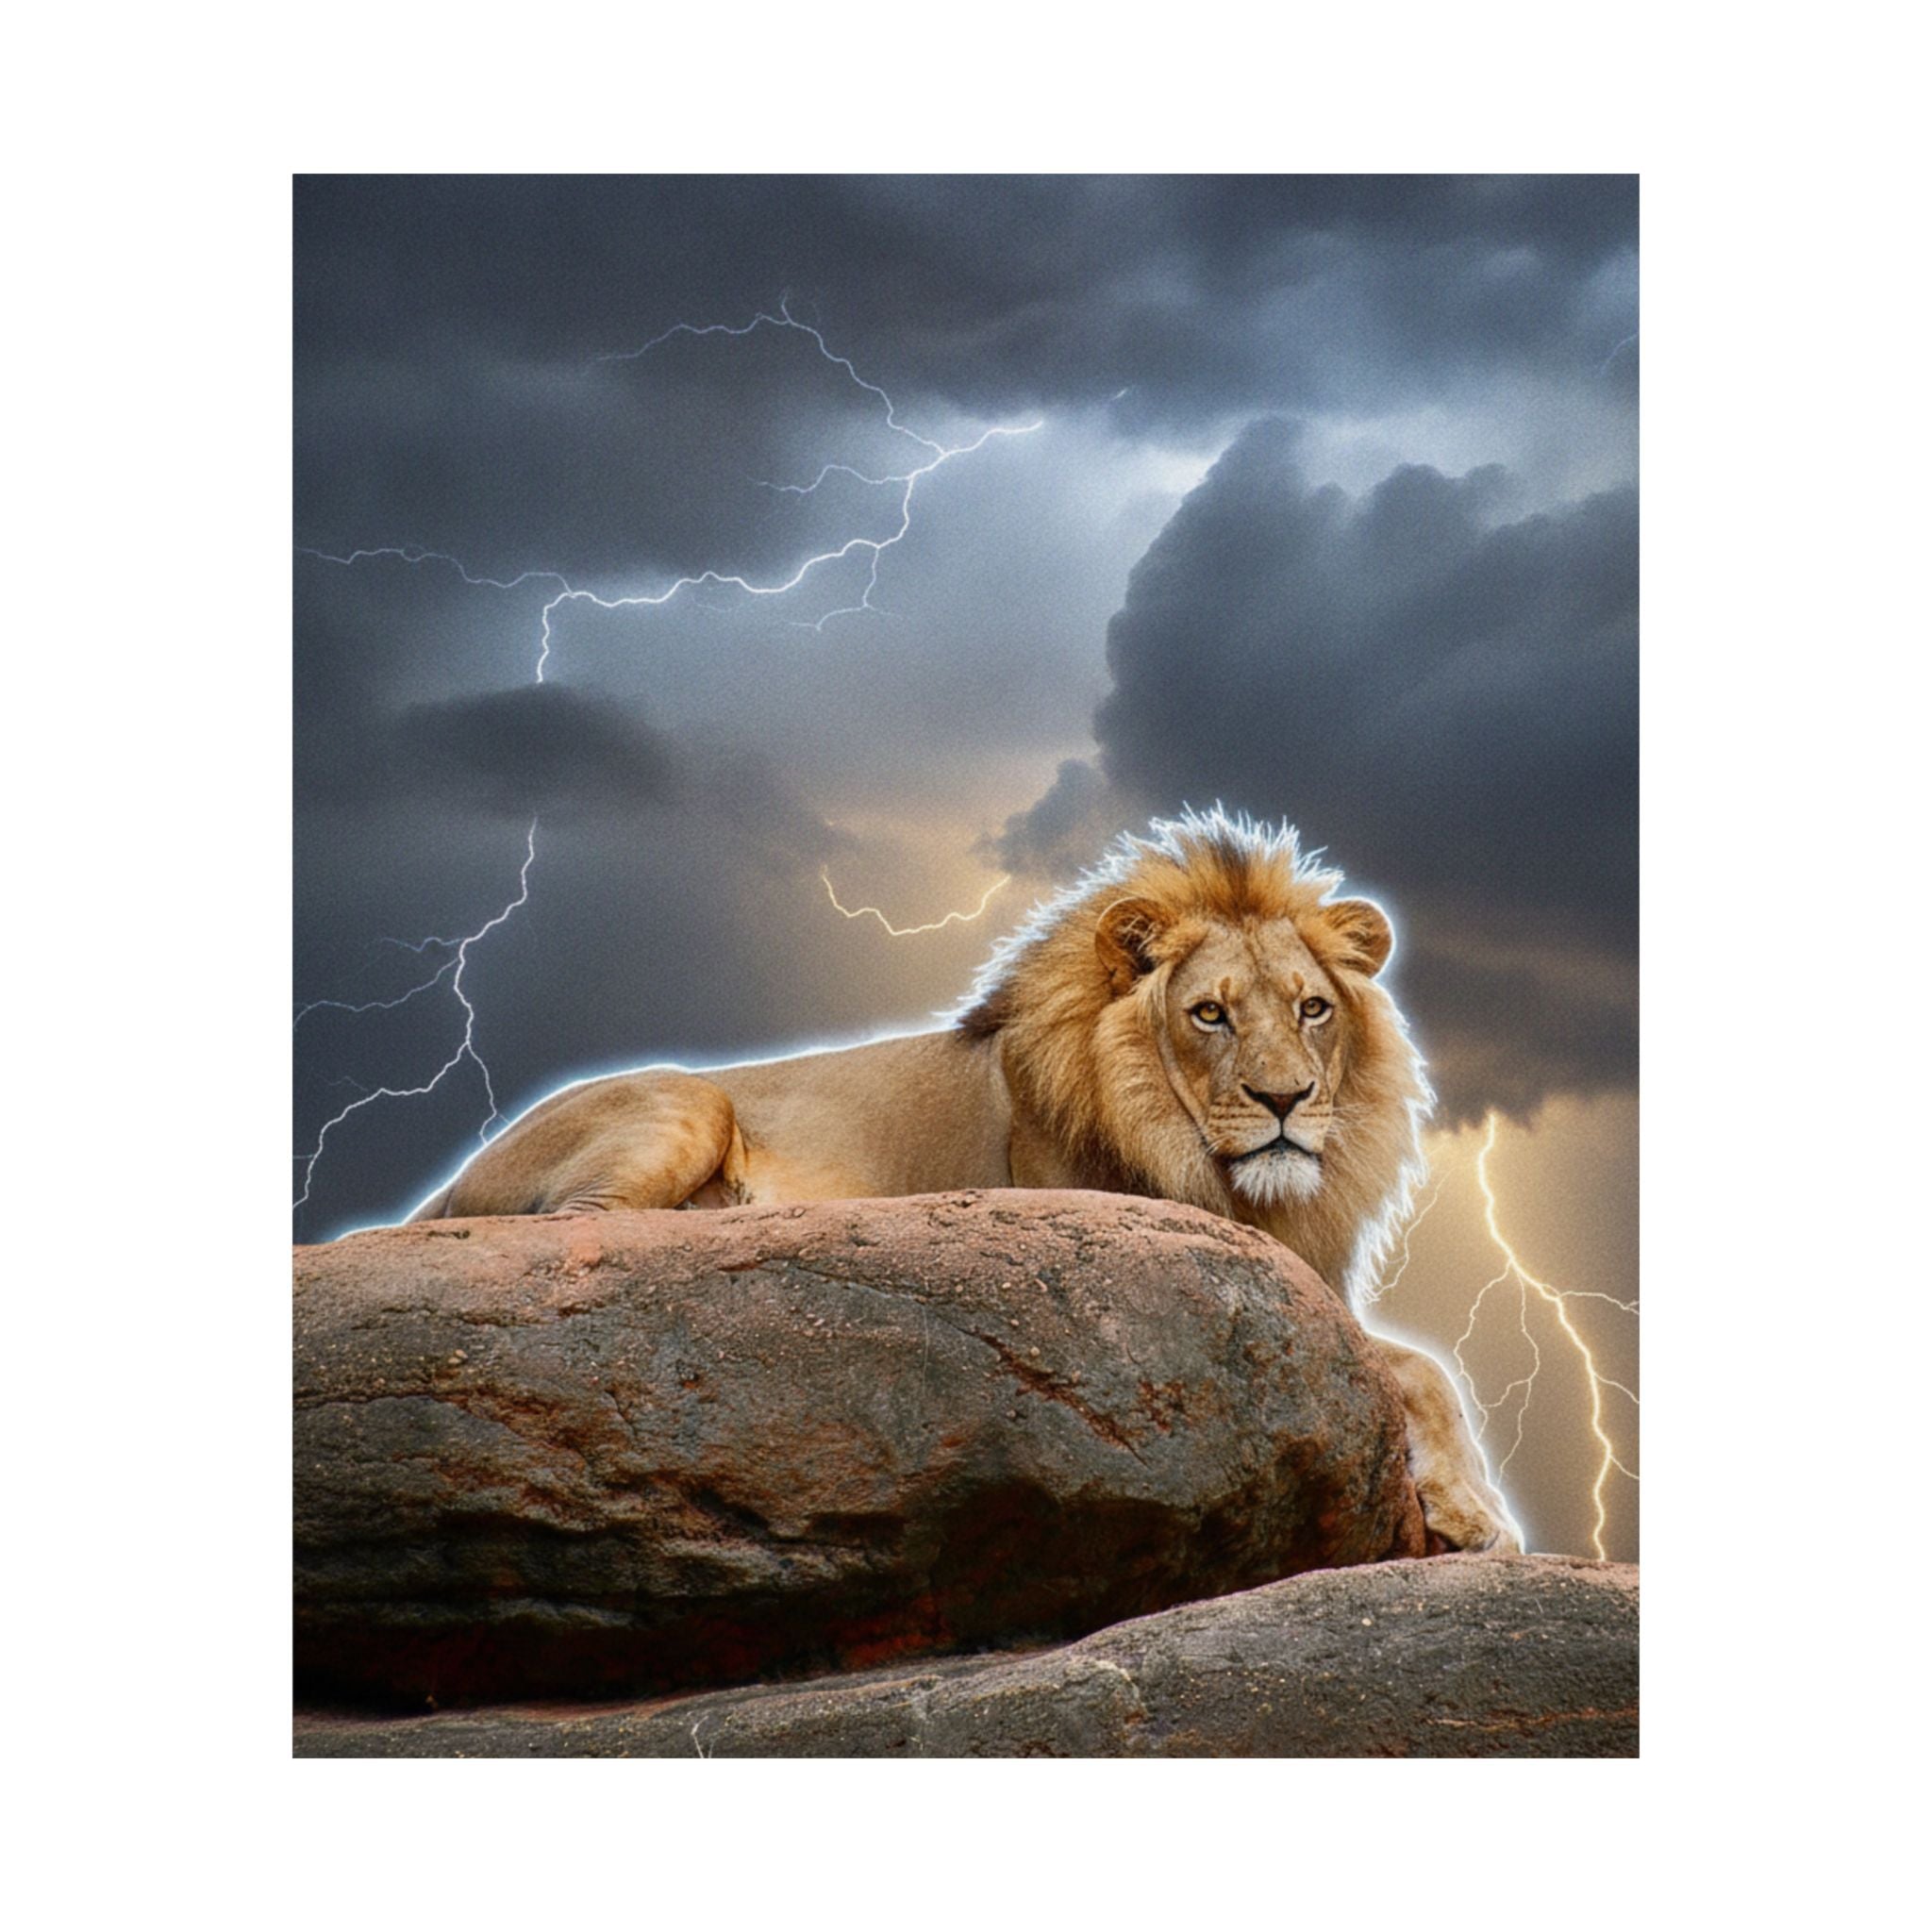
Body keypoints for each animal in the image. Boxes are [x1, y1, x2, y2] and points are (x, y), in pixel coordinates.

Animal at [409, 809, 1520, 1553]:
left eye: (1311, 1009)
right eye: (1209, 1013)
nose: (1285, 1099)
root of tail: (454, 1174)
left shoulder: (1309, 1277)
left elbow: (1428, 1367)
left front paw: (1473, 1511)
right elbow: (1413, 1364)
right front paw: (1480, 1517)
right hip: (685, 1104)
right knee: (582, 1230)